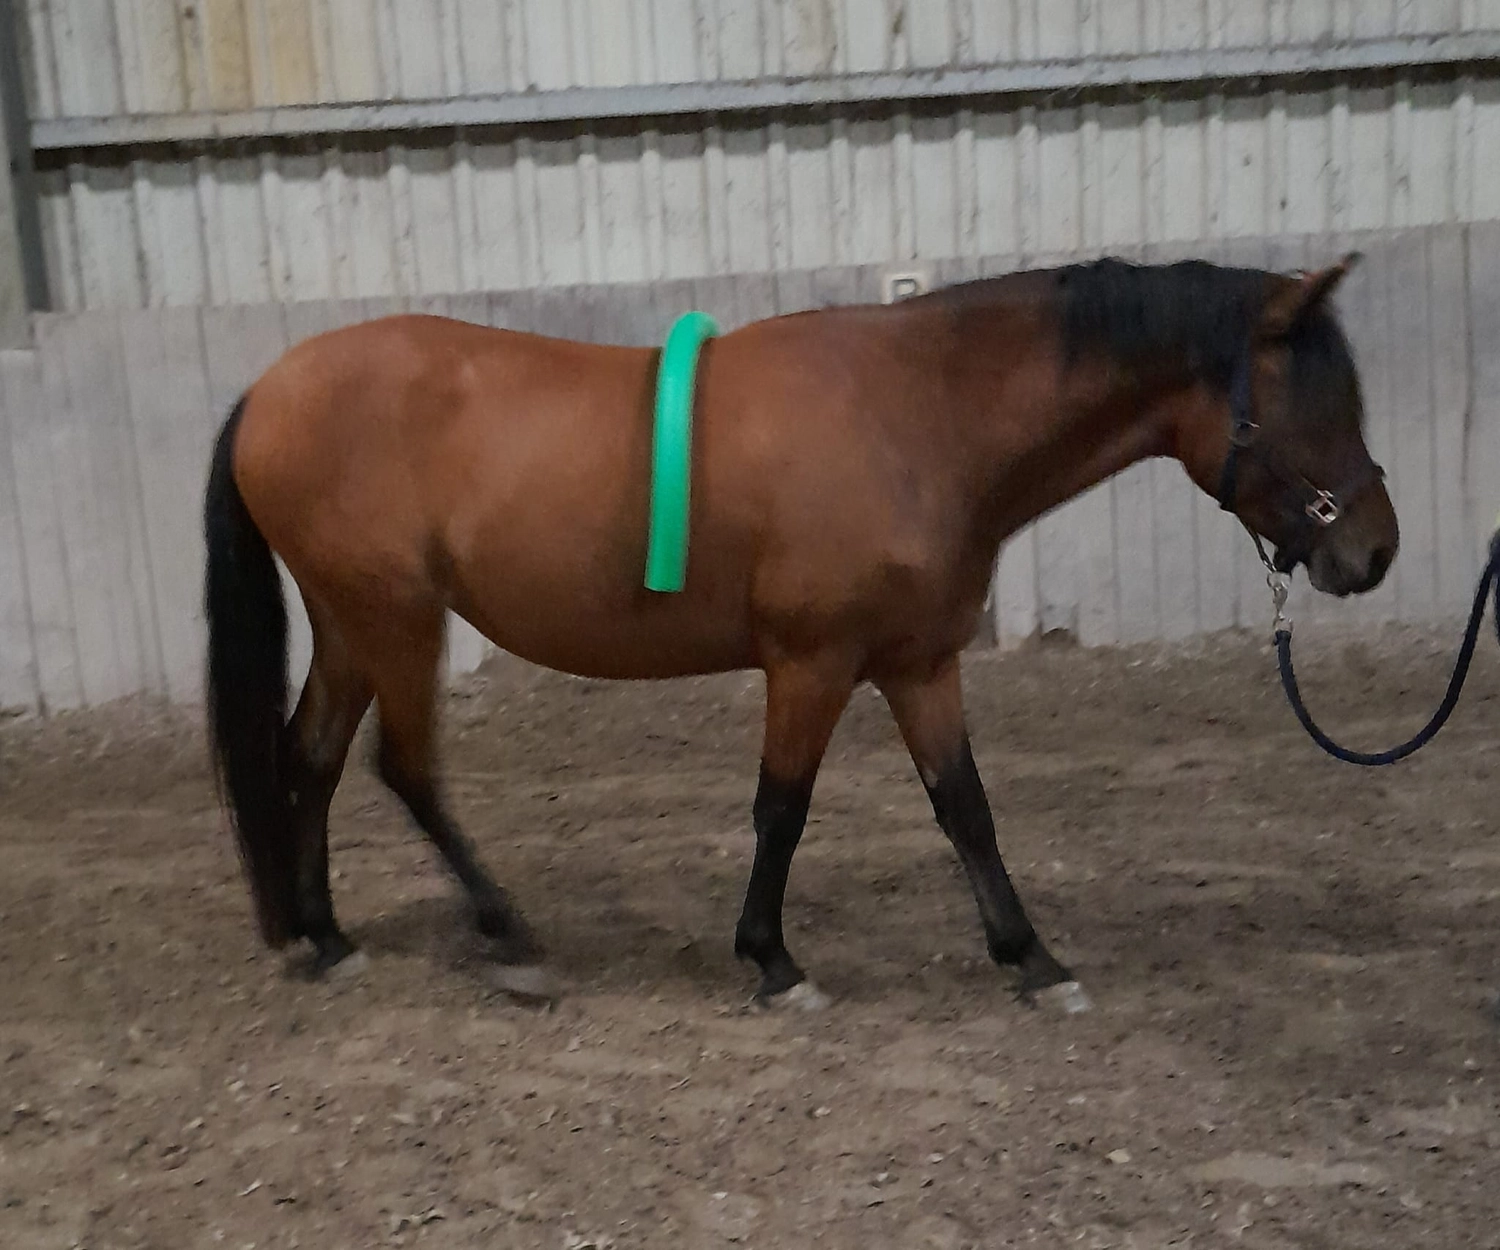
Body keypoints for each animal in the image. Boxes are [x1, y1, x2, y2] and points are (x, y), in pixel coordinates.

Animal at [204, 253, 1397, 1011]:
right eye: (1315, 403)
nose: (1375, 551)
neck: (918, 415)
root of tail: (268, 389)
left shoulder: (919, 663)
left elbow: (966, 807)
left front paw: (1033, 958)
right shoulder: (812, 664)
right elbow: (783, 807)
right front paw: (773, 961)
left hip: (352, 624)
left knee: (310, 757)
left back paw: (328, 937)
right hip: (396, 619)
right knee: (402, 768)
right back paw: (508, 937)